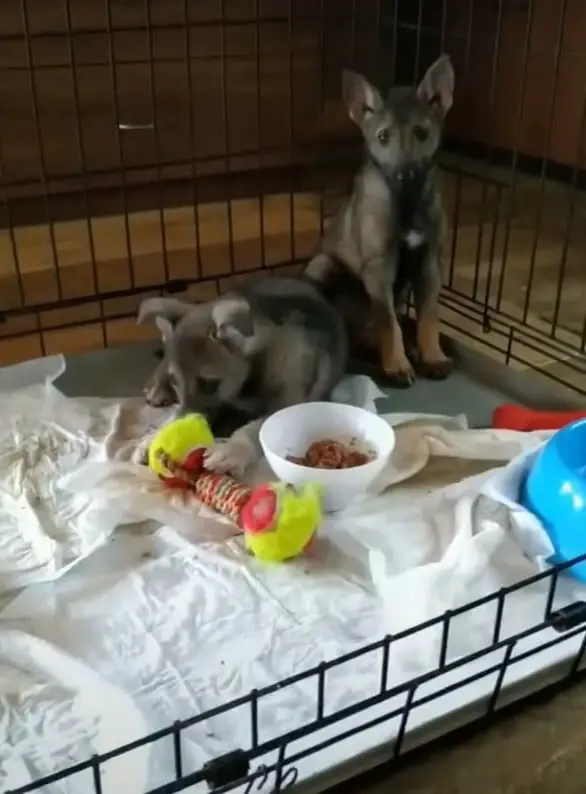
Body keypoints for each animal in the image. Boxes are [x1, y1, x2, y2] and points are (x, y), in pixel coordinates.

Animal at [137, 276, 346, 474]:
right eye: (175, 381)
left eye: (210, 383)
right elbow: (174, 413)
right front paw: (155, 436)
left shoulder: (286, 406)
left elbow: (254, 429)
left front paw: (231, 451)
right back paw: (157, 387)